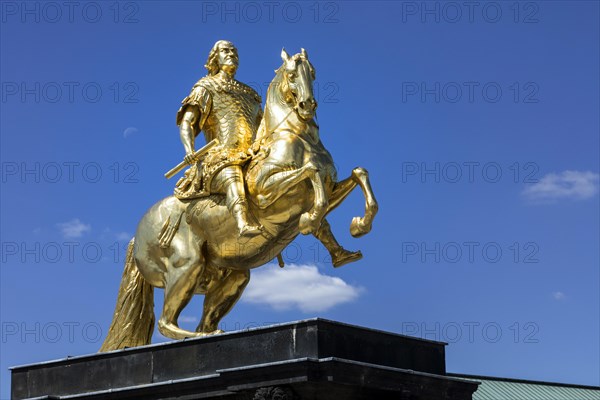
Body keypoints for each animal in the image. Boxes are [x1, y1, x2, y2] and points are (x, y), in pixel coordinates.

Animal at [100, 50, 378, 354]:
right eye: (292, 74)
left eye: (313, 73)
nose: (307, 105)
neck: (297, 138)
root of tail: (136, 235)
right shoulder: (266, 193)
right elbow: (311, 173)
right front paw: (310, 219)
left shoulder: (331, 187)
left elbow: (358, 174)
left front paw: (357, 228)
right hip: (186, 266)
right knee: (166, 322)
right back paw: (195, 337)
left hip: (232, 276)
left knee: (204, 319)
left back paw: (214, 334)